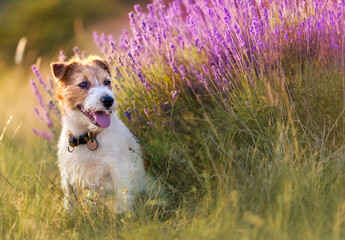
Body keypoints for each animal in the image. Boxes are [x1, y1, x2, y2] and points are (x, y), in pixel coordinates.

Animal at [51, 55, 152, 212]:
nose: (109, 100)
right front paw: (69, 216)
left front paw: (125, 216)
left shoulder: (119, 169)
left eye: (107, 82)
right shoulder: (68, 175)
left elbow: (123, 199)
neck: (88, 137)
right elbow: (70, 201)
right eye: (84, 84)